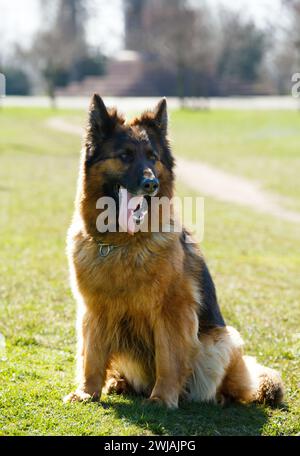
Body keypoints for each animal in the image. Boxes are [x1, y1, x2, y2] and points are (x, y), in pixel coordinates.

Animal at [63, 94, 284, 408]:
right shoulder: (93, 311)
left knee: (233, 387)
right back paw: (118, 382)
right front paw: (87, 392)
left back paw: (216, 397)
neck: (122, 242)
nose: (151, 184)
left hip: (221, 342)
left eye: (152, 157)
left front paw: (161, 398)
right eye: (125, 156)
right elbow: (91, 357)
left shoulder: (173, 312)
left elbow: (169, 359)